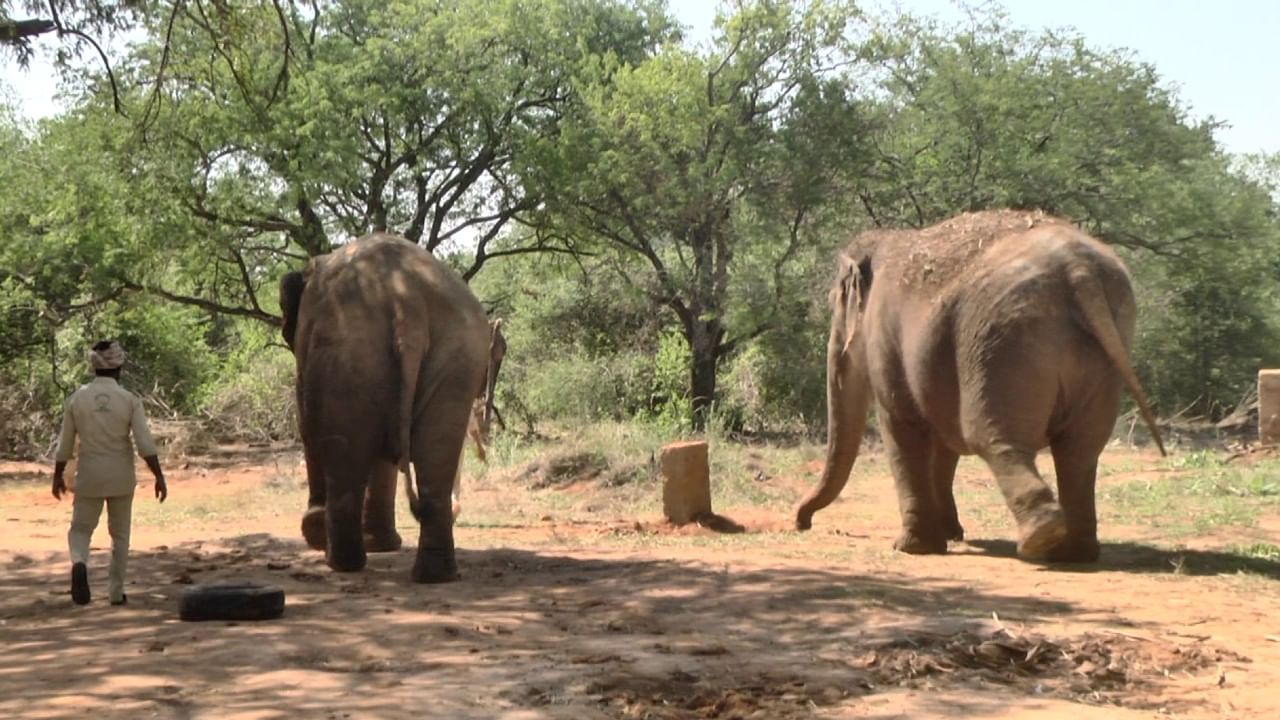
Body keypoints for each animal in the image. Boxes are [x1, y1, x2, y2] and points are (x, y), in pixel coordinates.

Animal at [280, 233, 488, 579]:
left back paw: (340, 563)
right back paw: (435, 575)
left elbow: (307, 426)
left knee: (343, 452)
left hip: (348, 351)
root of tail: (406, 302)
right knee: (437, 454)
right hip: (459, 349)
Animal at [798, 207, 1172, 561]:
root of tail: (1078, 270)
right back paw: (1073, 552)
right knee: (1079, 450)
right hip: (1099, 350)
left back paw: (1040, 539)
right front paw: (950, 534)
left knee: (992, 436)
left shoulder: (886, 339)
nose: (802, 522)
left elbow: (903, 425)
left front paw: (912, 547)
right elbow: (943, 438)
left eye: (833, 308)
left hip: (1000, 342)